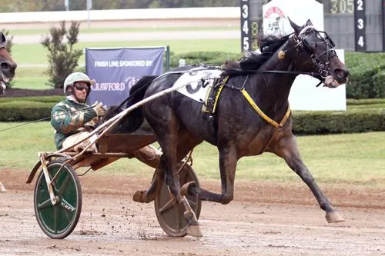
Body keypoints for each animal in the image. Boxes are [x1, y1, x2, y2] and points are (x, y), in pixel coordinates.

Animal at [111, 19, 348, 236]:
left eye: (328, 42)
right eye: (309, 45)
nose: (341, 72)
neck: (262, 91)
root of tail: (156, 80)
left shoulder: (284, 142)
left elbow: (307, 174)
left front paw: (331, 210)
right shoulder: (227, 148)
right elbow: (226, 195)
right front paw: (191, 188)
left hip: (189, 135)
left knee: (163, 167)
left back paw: (148, 194)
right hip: (166, 129)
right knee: (172, 177)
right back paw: (189, 217)